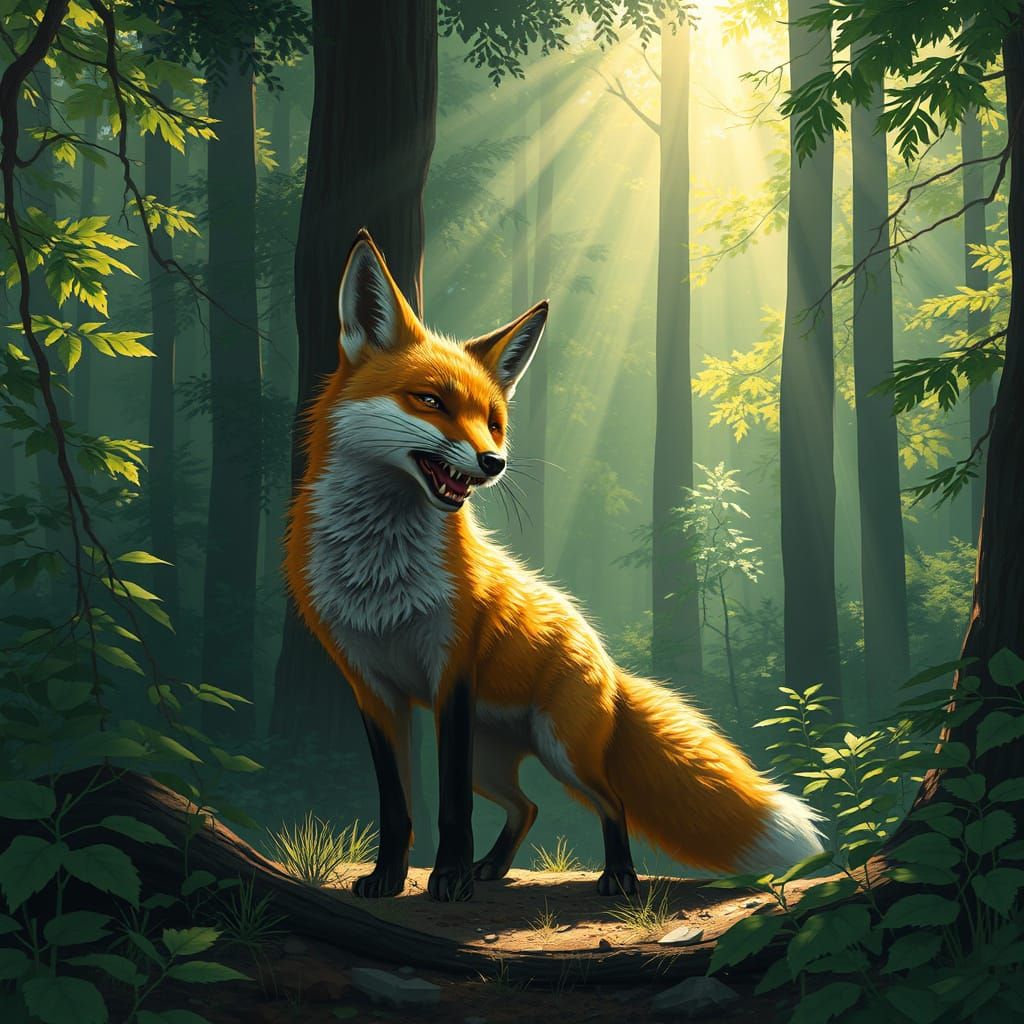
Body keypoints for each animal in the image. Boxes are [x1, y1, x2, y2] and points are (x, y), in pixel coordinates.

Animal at [284, 228, 823, 902]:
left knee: (610, 801)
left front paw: (449, 879)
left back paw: (616, 877)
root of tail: (611, 668)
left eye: (493, 422)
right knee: (527, 806)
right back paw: (493, 868)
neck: (380, 574)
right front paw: (389, 879)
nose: (493, 462)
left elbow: (450, 808)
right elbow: (395, 806)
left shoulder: (451, 673)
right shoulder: (372, 688)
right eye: (429, 401)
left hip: (560, 750)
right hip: (494, 759)